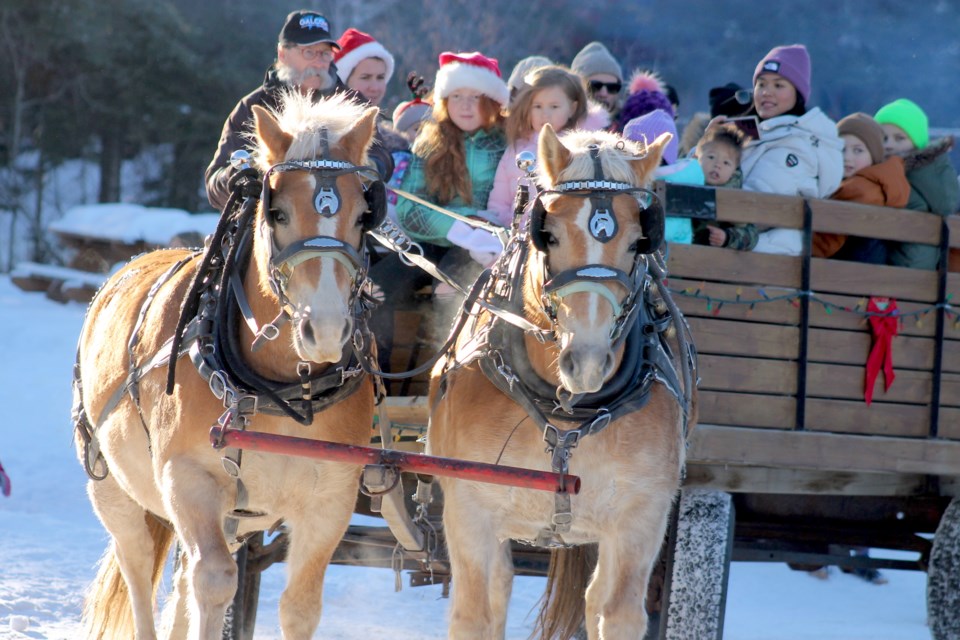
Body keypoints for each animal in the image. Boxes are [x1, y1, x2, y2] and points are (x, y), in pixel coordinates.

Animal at [73, 92, 384, 636]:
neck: (279, 390)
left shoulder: (331, 499)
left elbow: (300, 606)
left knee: (180, 582)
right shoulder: (189, 478)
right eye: (277, 212)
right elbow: (215, 581)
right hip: (111, 483)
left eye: (364, 215)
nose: (325, 330)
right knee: (138, 566)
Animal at [428, 125, 696, 640]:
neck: (568, 412)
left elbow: (618, 612)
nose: (586, 361)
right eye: (547, 235)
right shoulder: (470, 510)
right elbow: (474, 614)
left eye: (639, 242)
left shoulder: (641, 517)